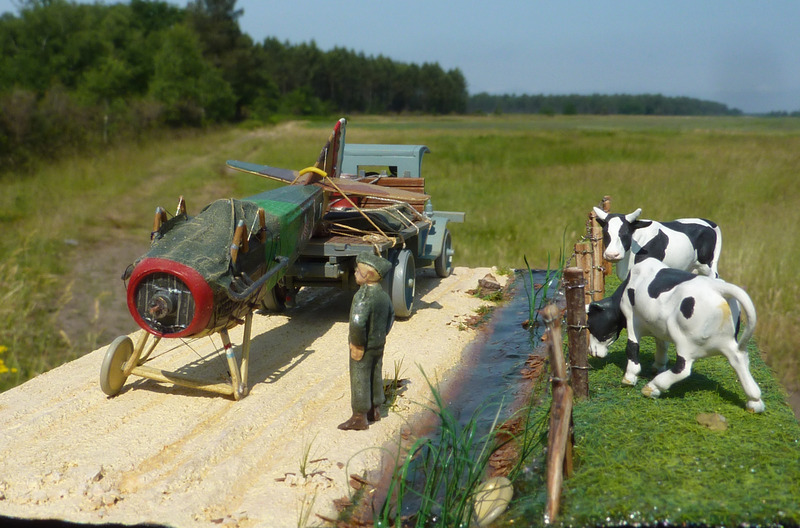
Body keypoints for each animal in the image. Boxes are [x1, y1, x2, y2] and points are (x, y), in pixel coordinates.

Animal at [588, 258, 764, 414]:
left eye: (590, 325)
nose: (591, 351)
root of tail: (718, 288)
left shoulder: (632, 319)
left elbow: (631, 348)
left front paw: (629, 377)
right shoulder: (659, 325)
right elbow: (661, 345)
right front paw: (658, 365)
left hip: (686, 343)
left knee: (683, 369)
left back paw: (652, 388)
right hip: (727, 343)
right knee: (739, 360)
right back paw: (754, 401)